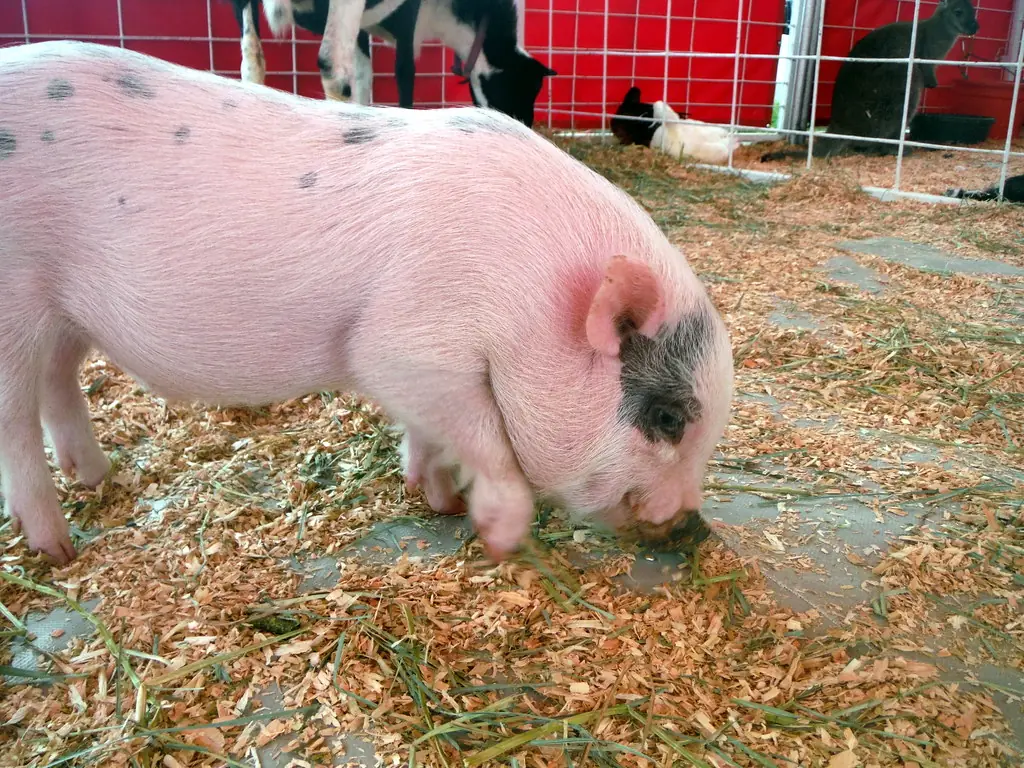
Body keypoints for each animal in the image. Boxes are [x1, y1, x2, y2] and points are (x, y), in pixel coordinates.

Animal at [0, 40, 735, 566]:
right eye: (668, 418)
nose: (694, 527)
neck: (528, 298)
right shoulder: (404, 348)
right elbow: (487, 440)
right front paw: (499, 541)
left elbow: (432, 436)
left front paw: (437, 499)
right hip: (15, 301)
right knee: (15, 421)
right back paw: (57, 550)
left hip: (65, 314)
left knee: (59, 382)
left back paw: (99, 477)